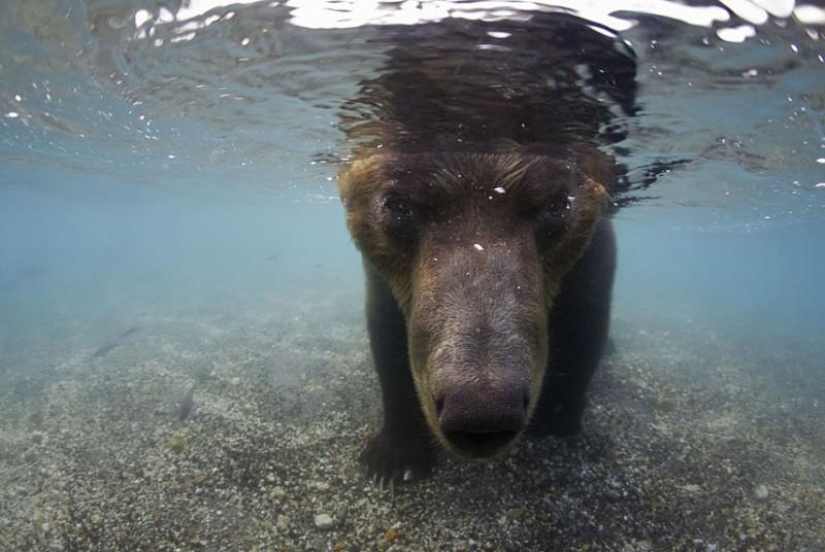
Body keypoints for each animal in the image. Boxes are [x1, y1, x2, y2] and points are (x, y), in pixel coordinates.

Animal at [337, 12, 636, 484]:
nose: (481, 411)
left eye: (556, 204)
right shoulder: (386, 270)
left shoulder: (589, 254)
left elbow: (585, 320)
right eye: (399, 204)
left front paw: (555, 418)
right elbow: (389, 333)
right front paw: (394, 457)